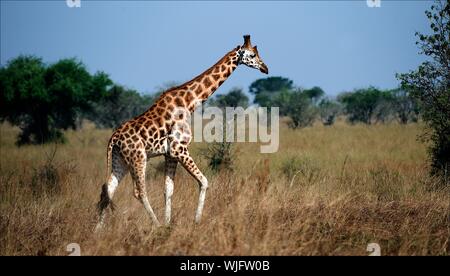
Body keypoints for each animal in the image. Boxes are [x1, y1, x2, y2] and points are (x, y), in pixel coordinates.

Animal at [96, 35, 268, 229]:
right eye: (252, 55)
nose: (265, 68)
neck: (189, 102)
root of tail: (114, 138)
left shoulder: (170, 154)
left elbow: (168, 190)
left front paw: (169, 224)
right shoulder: (180, 148)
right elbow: (204, 182)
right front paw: (195, 221)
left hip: (120, 160)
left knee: (108, 190)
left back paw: (97, 231)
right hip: (138, 157)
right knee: (139, 192)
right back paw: (156, 225)